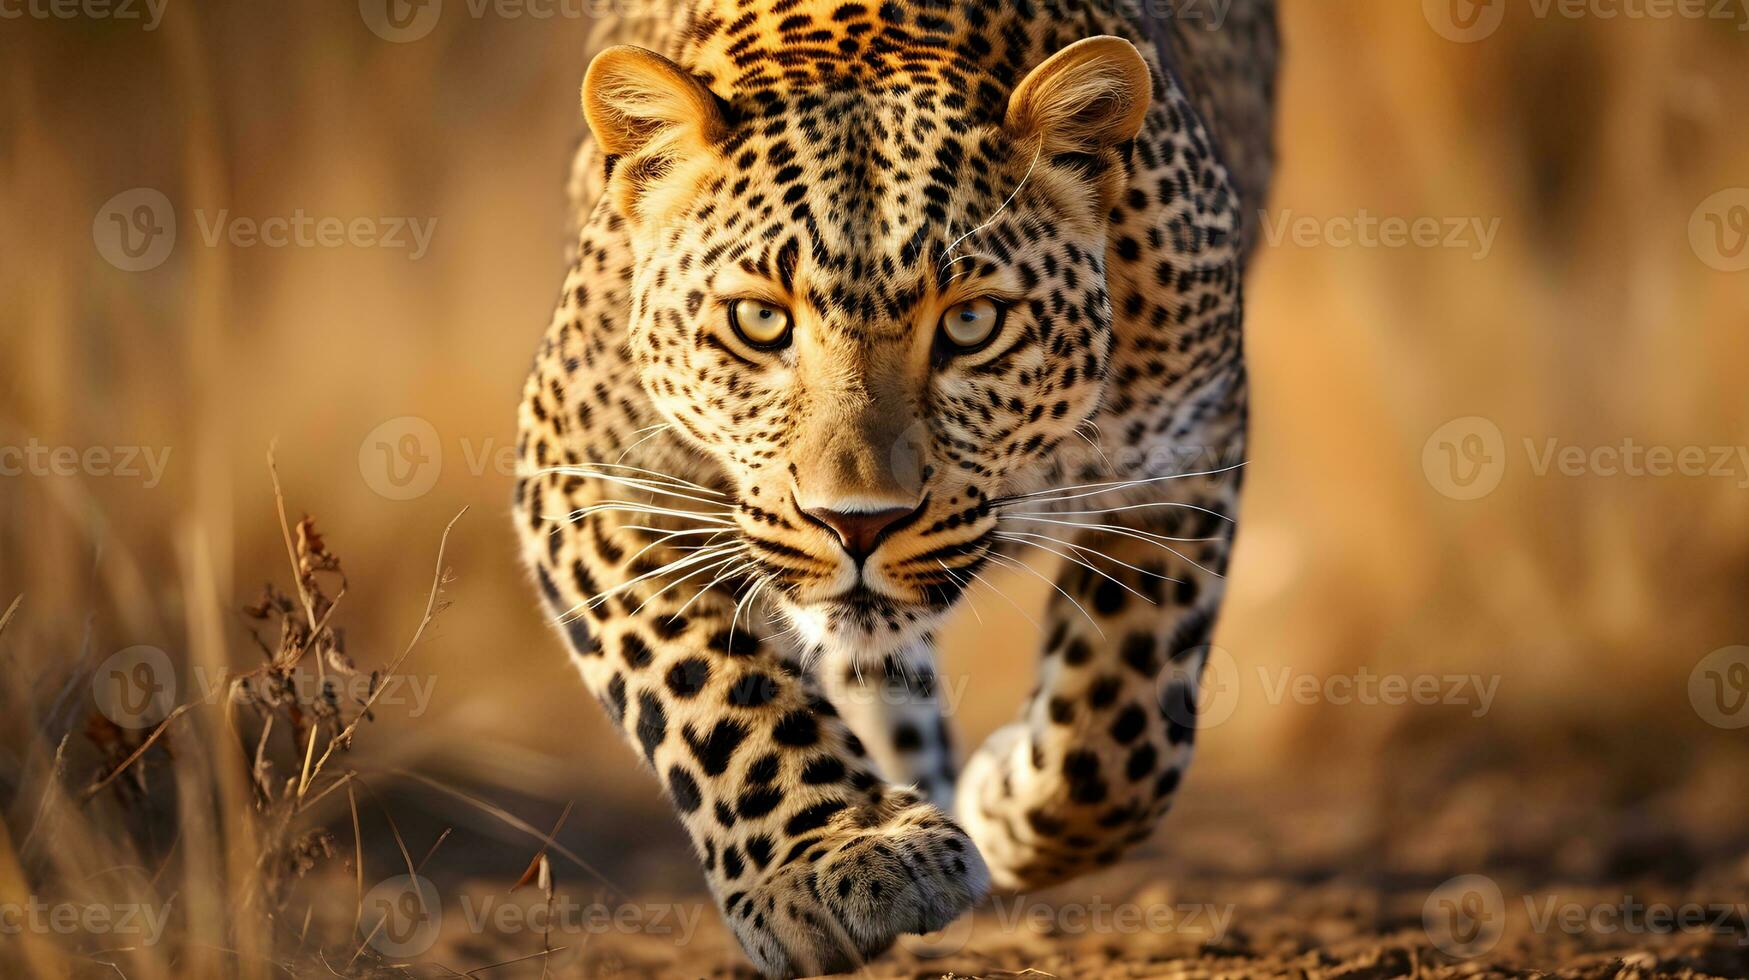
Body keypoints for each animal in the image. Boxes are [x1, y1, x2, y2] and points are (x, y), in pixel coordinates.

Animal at [510, 3, 1280, 973]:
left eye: (972, 324)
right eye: (757, 321)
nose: (858, 525)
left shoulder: (1191, 444)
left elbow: (1121, 724)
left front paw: (1002, 807)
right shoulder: (584, 461)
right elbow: (708, 682)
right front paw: (835, 856)